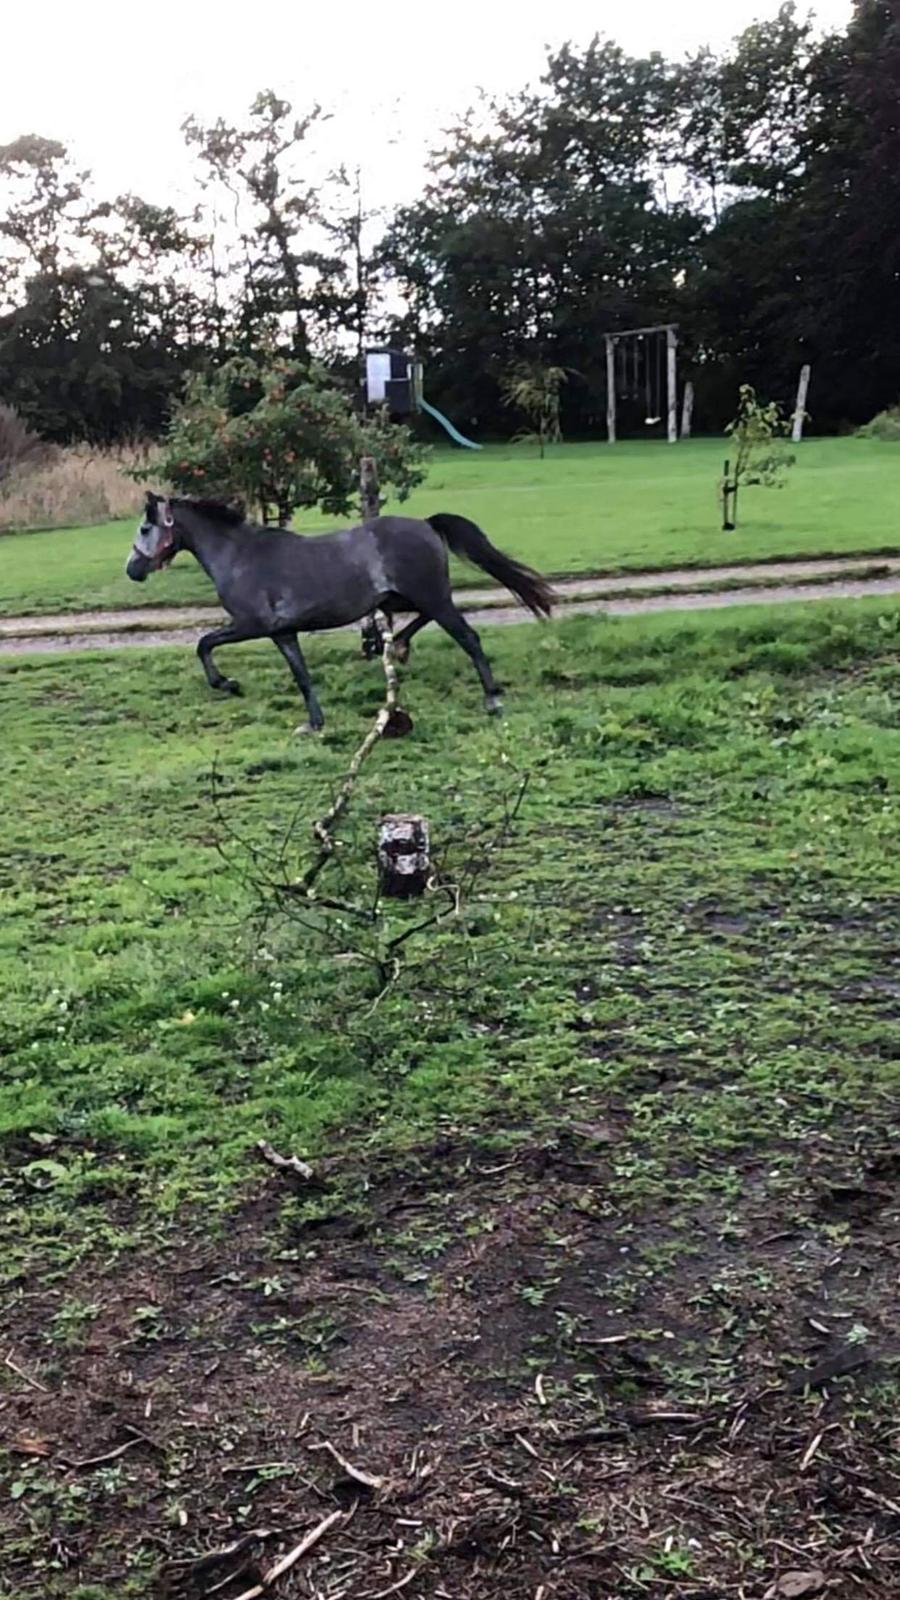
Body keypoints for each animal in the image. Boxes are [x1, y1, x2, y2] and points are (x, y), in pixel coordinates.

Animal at [126, 493, 554, 731]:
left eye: (145, 529)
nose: (132, 570)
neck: (239, 557)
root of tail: (426, 524)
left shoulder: (251, 624)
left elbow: (203, 644)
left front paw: (227, 683)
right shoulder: (282, 632)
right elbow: (301, 676)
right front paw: (314, 724)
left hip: (430, 595)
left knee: (468, 637)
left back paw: (492, 699)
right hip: (402, 598)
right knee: (424, 620)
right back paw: (398, 645)